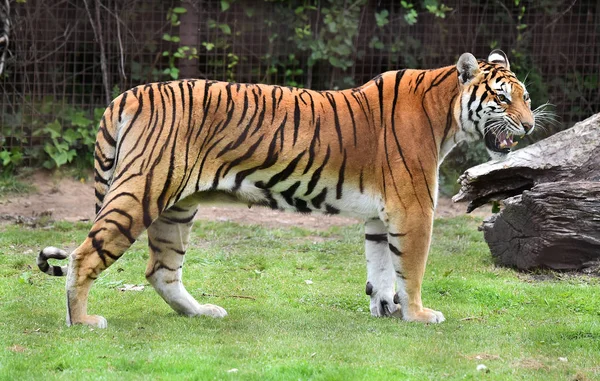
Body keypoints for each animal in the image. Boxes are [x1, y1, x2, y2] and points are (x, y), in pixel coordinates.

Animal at [37, 49, 540, 326]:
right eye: (501, 98)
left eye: (526, 97)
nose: (531, 125)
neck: (446, 116)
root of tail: (128, 94)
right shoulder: (413, 209)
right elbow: (410, 269)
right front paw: (418, 314)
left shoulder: (381, 215)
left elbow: (381, 268)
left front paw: (387, 311)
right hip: (141, 192)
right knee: (85, 255)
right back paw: (83, 322)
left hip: (176, 208)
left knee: (161, 270)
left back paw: (202, 313)